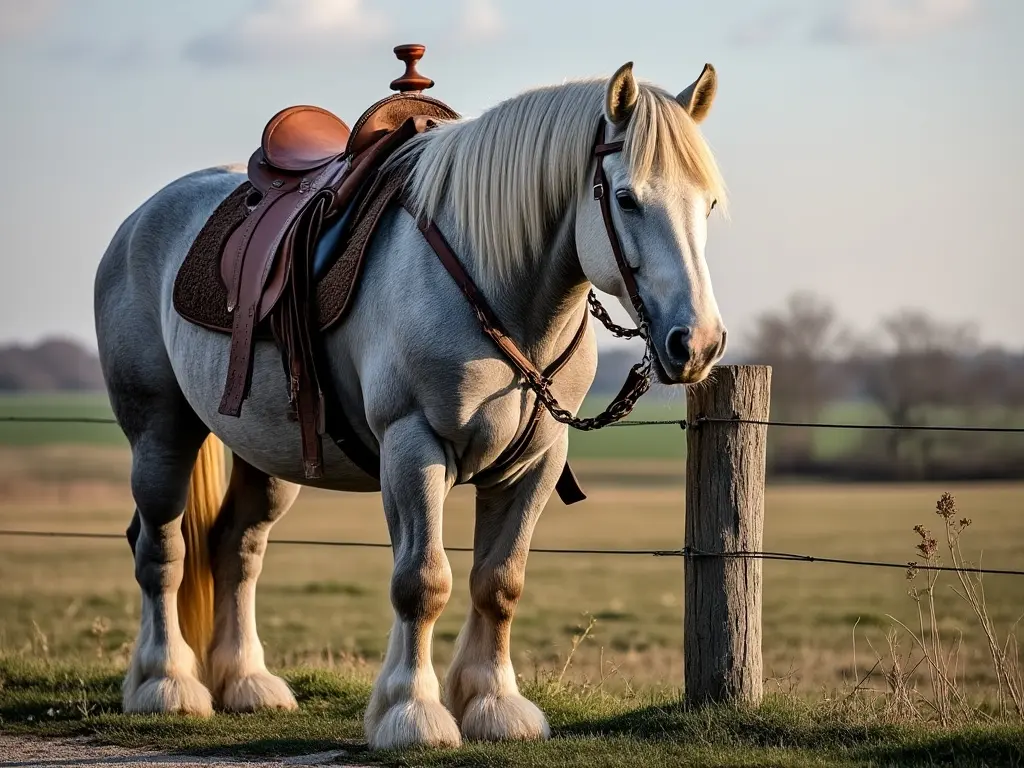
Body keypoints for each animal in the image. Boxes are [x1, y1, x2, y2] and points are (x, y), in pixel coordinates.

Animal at [93, 60, 729, 750]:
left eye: (709, 203)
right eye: (627, 198)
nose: (697, 342)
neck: (493, 284)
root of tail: (139, 221)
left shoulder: (535, 461)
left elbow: (499, 584)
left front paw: (494, 703)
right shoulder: (414, 447)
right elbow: (422, 583)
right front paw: (412, 711)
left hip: (266, 455)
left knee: (237, 549)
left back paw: (246, 682)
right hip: (160, 433)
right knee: (161, 549)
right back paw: (166, 684)